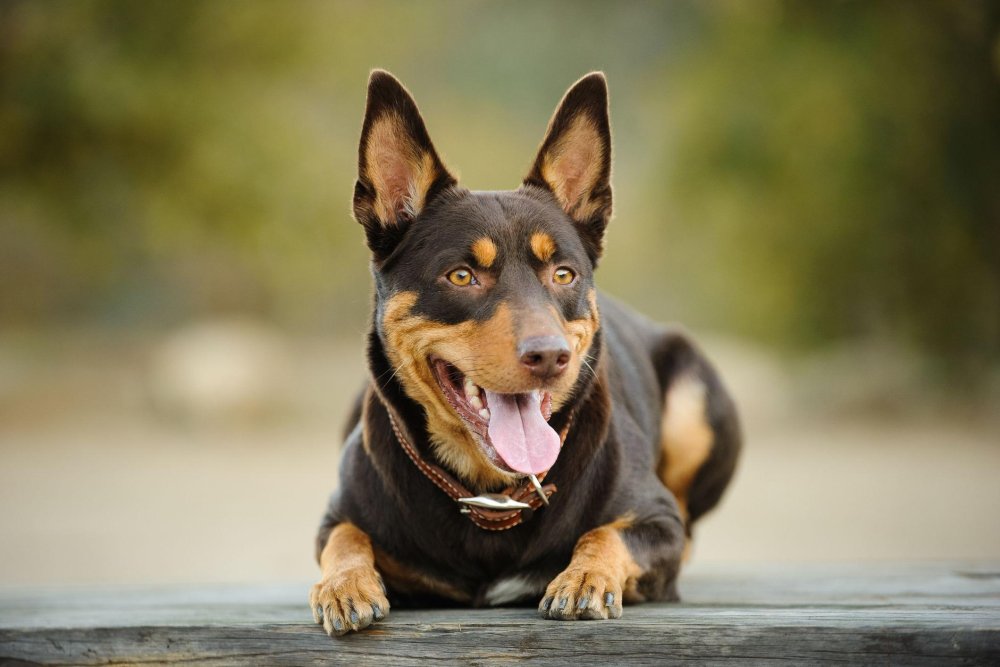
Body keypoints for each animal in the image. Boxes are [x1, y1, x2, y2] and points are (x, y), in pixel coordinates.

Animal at [308, 69, 740, 636]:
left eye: (564, 274)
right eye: (461, 276)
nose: (550, 356)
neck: (494, 491)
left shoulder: (657, 522)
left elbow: (606, 533)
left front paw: (585, 577)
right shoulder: (335, 517)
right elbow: (345, 539)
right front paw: (345, 585)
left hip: (696, 404)